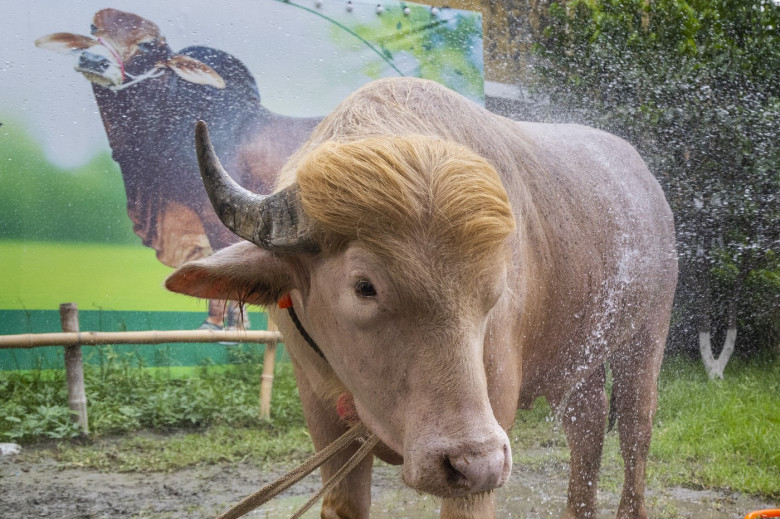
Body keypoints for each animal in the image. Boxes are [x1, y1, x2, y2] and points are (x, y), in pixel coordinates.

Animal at [167, 77, 678, 518]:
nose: (477, 462)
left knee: (635, 434)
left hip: (646, 339)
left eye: (493, 290)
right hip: (576, 361)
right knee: (587, 427)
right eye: (364, 286)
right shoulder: (322, 417)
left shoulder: (485, 445)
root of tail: (649, 188)